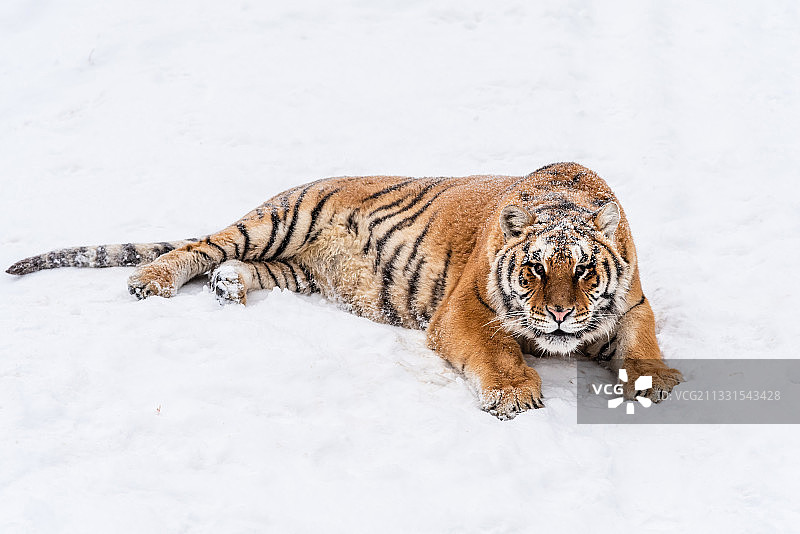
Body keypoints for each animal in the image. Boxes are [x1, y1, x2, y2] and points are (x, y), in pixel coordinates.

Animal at [6, 162, 682, 419]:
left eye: (586, 271)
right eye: (536, 269)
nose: (562, 313)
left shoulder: (632, 303)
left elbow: (641, 339)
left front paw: (659, 381)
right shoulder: (464, 310)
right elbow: (496, 352)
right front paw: (515, 395)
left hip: (296, 268)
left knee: (236, 267)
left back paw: (228, 289)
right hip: (276, 221)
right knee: (200, 248)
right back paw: (148, 281)